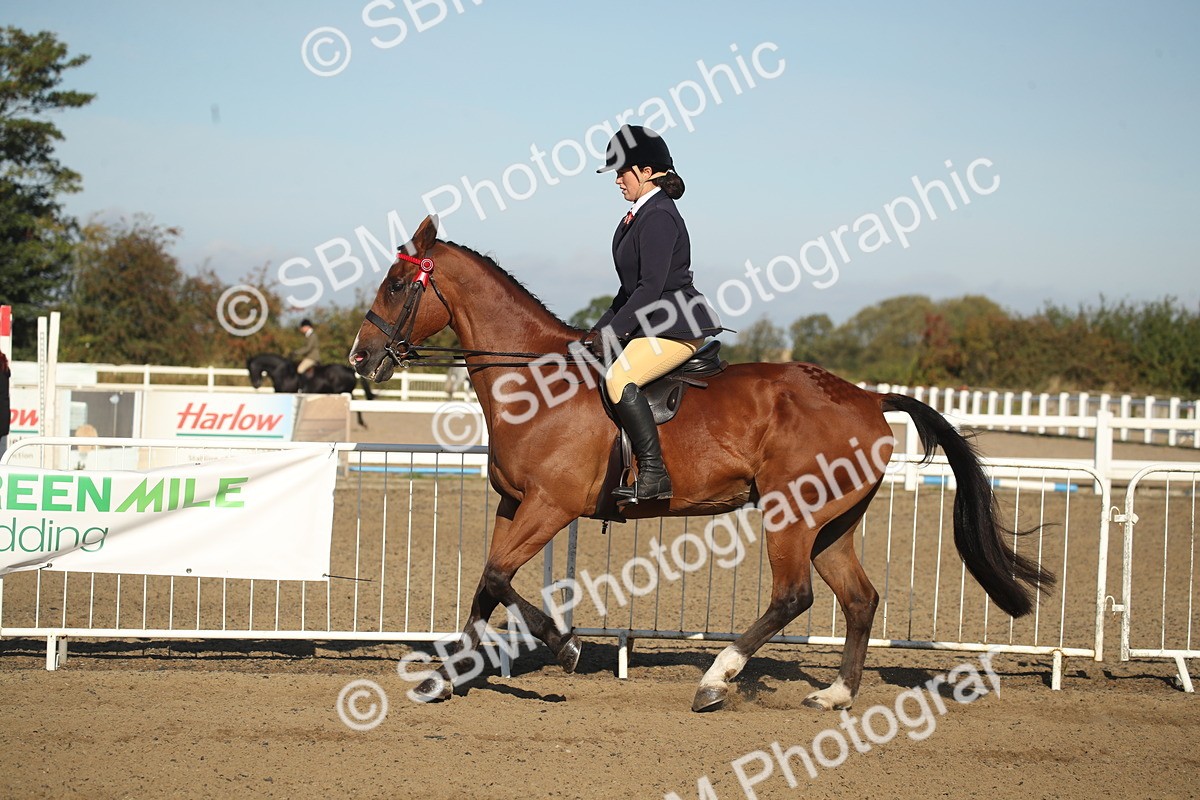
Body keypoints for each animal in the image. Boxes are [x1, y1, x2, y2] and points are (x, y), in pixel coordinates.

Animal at [247, 353, 375, 427]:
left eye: (251, 368)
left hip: (342, 391)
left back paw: (362, 423)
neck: (283, 373)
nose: (256, 385)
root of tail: (349, 370)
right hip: (345, 391)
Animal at [349, 215, 1053, 712]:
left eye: (395, 284)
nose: (360, 358)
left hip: (791, 514)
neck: (534, 384)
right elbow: (484, 587)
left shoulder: (550, 506)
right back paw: (835, 695)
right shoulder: (513, 502)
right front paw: (446, 679)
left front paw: (565, 646)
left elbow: (497, 578)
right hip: (833, 523)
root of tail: (865, 396)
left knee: (793, 596)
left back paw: (717, 679)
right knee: (859, 598)